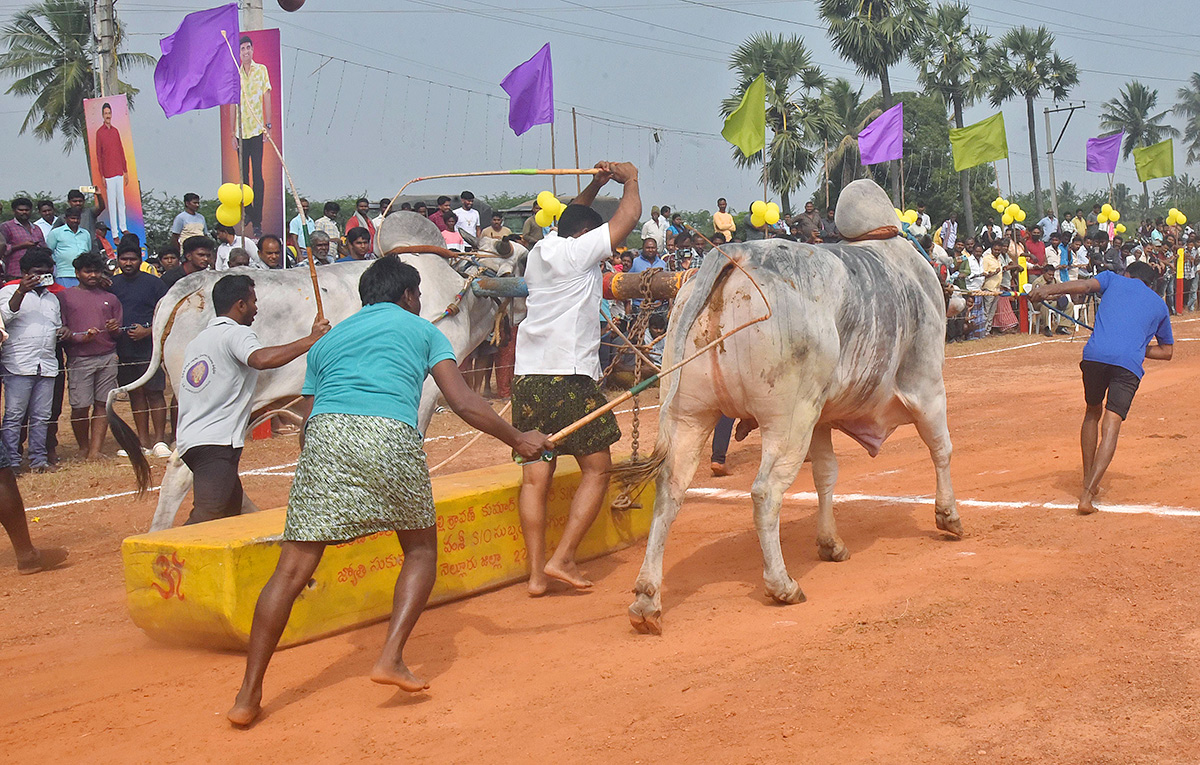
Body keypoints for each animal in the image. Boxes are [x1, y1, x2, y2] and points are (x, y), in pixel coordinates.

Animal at [624, 179, 960, 633]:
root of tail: (735, 254)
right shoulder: (927, 387)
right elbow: (941, 450)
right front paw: (949, 517)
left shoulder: (821, 419)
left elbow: (826, 475)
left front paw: (830, 543)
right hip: (787, 421)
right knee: (765, 492)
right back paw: (781, 584)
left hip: (689, 415)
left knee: (669, 491)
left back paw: (647, 599)